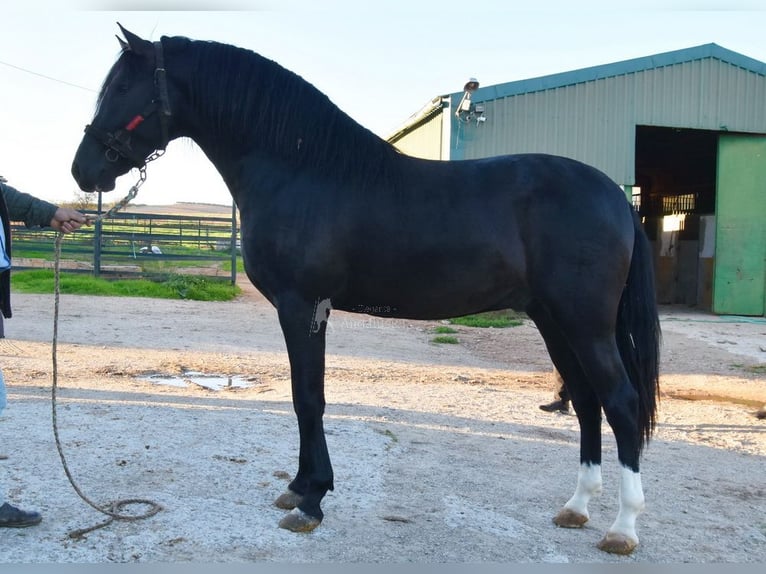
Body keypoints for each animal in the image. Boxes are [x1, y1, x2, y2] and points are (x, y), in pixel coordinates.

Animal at [70, 27, 660, 560]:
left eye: (123, 87)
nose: (83, 170)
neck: (303, 169)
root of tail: (614, 194)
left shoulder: (302, 306)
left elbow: (308, 397)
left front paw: (311, 501)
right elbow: (305, 397)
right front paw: (300, 489)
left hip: (585, 323)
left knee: (621, 401)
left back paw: (623, 528)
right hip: (552, 320)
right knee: (586, 400)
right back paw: (577, 507)